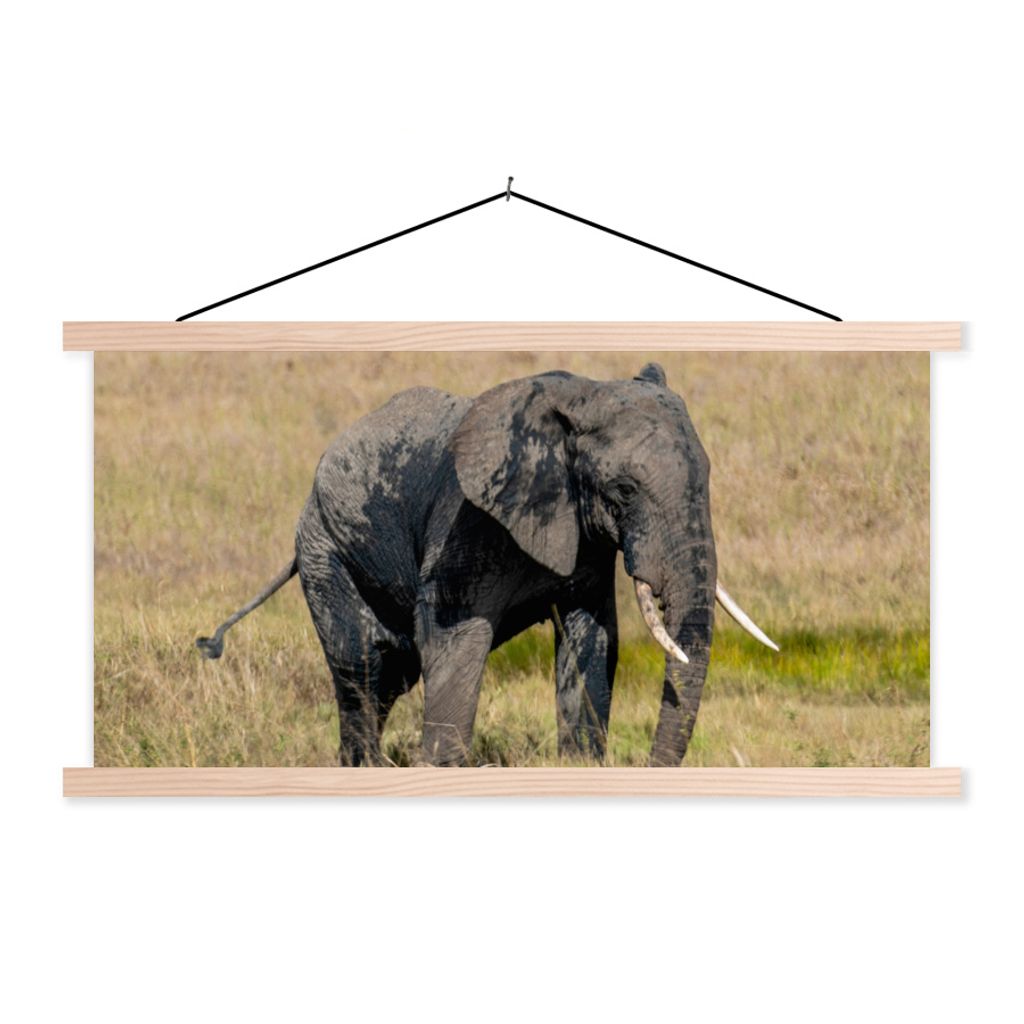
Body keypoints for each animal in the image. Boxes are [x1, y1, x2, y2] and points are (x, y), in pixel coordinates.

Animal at [197, 362, 777, 766]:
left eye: (706, 479)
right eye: (625, 490)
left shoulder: (585, 539)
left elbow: (592, 638)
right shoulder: (469, 522)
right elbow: (455, 641)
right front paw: (441, 768)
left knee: (389, 674)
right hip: (324, 547)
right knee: (361, 663)